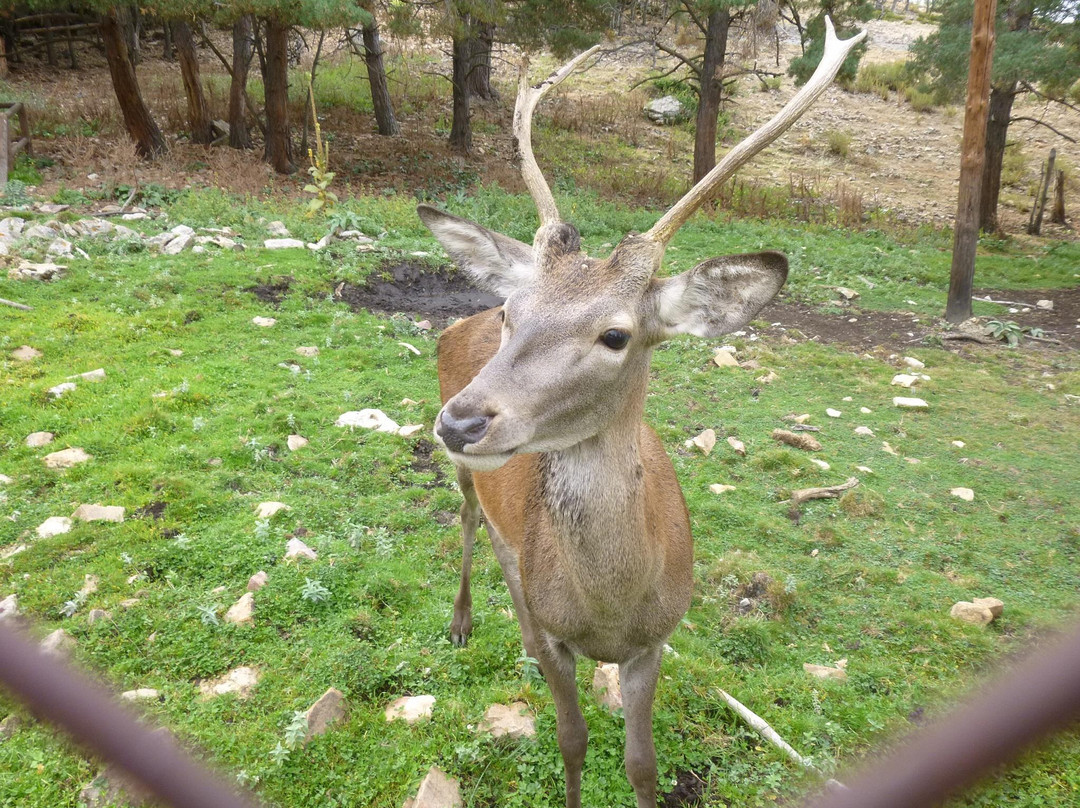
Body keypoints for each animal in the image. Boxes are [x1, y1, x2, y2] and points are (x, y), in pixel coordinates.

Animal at [416, 18, 864, 808]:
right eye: (512, 312)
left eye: (616, 335)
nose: (461, 421)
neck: (610, 608)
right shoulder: (567, 644)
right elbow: (570, 741)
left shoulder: (656, 641)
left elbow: (641, 764)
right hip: (465, 477)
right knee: (469, 518)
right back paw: (465, 622)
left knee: (500, 543)